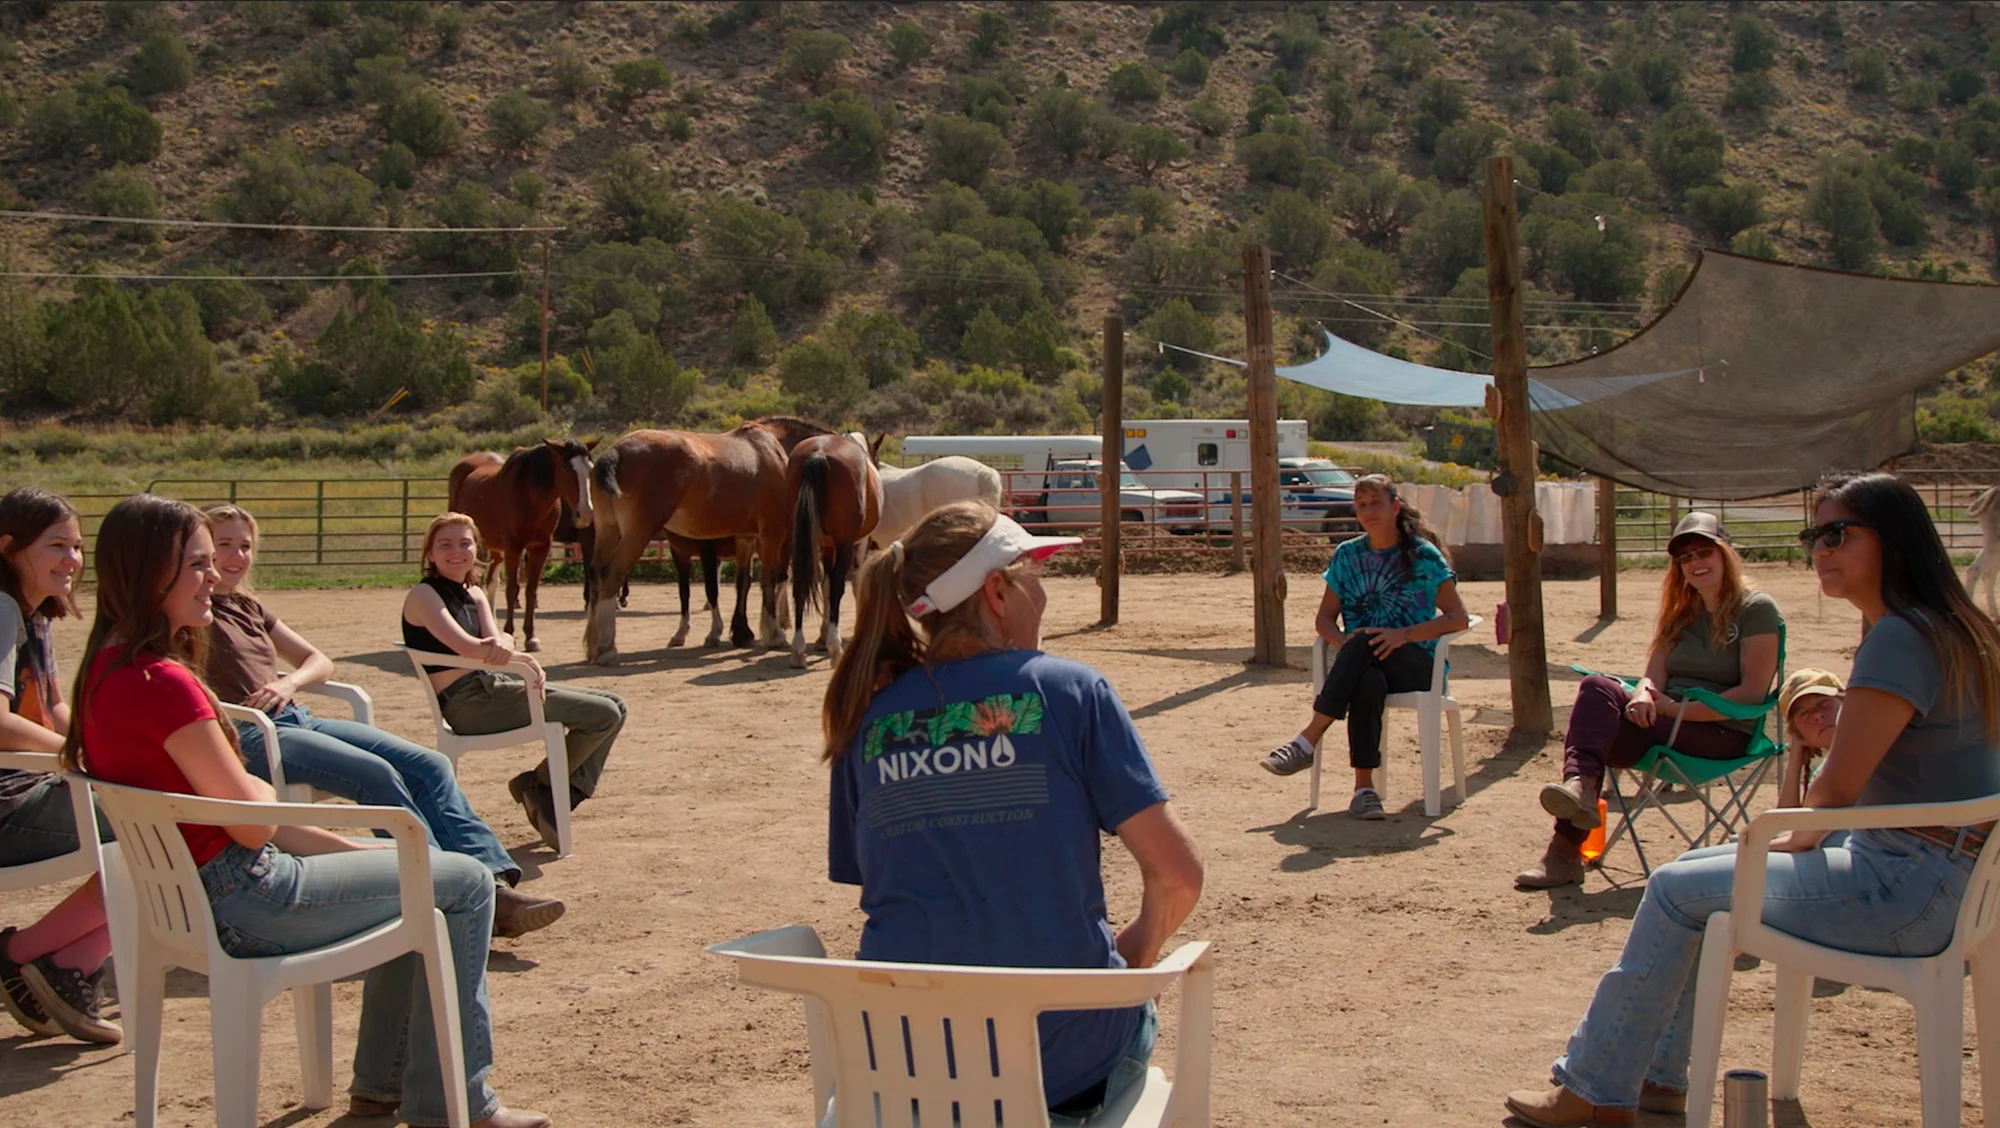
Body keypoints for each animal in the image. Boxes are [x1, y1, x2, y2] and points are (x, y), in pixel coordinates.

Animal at [444, 440, 588, 652]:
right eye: (566, 467)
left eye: (589, 467)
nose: (584, 512)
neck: (529, 495)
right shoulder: (513, 546)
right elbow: (512, 589)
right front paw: (510, 634)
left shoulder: (540, 548)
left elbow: (531, 590)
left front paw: (531, 637)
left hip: (496, 549)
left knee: (492, 582)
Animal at [584, 416, 832, 664]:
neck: (773, 447)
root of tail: (616, 452)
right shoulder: (771, 533)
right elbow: (768, 579)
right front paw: (774, 635)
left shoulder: (746, 537)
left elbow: (743, 581)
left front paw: (743, 633)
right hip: (637, 534)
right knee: (611, 574)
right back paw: (606, 649)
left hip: (608, 530)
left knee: (595, 575)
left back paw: (592, 645)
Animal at [784, 428, 880, 664]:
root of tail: (818, 455)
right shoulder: (858, 544)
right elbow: (852, 583)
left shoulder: (827, 546)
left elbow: (825, 584)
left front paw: (822, 636)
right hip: (845, 544)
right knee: (838, 584)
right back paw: (836, 648)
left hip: (799, 541)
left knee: (800, 582)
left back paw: (798, 649)